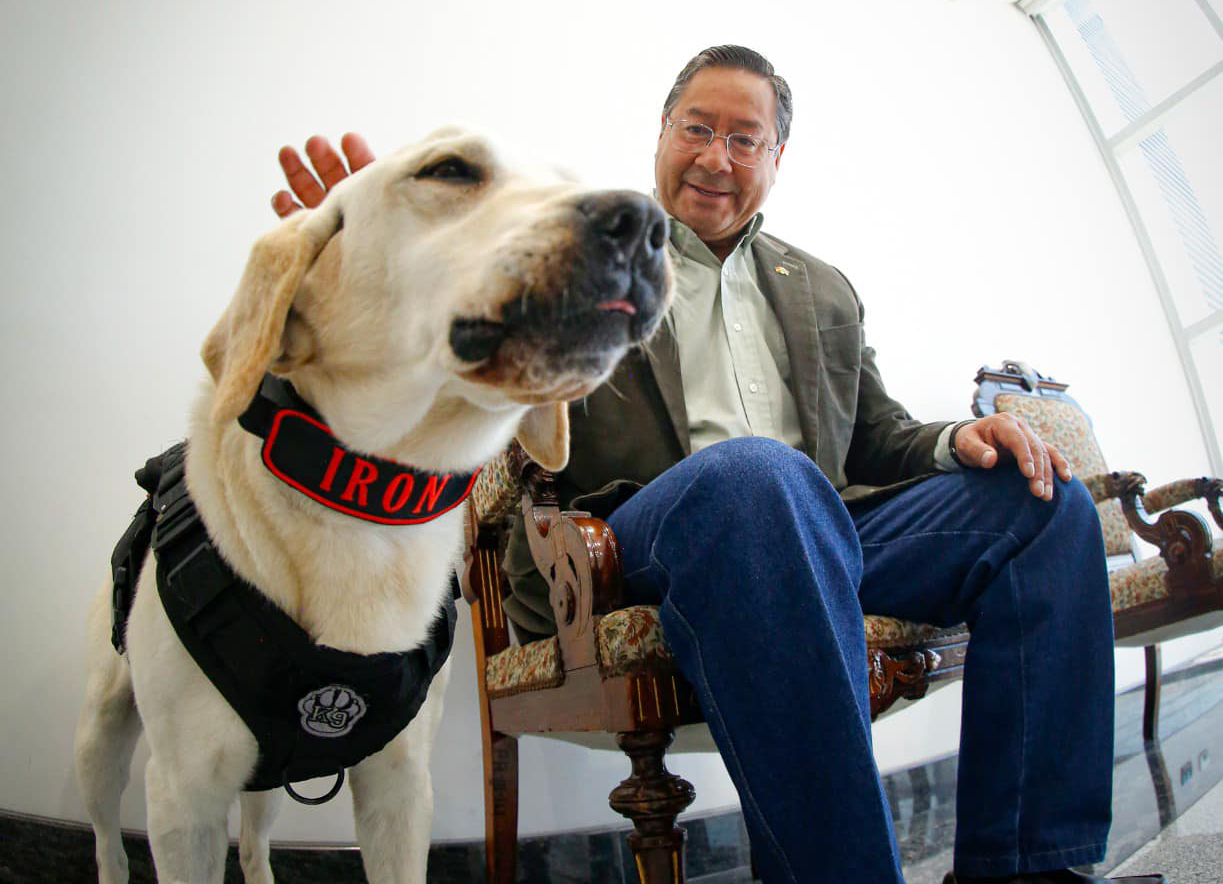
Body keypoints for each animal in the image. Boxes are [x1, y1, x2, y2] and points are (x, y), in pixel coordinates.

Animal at [73, 125, 670, 884]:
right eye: (448, 168)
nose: (647, 222)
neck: (367, 499)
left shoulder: (400, 783)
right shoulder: (184, 797)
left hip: (266, 781)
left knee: (256, 843)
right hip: (102, 735)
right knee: (105, 838)